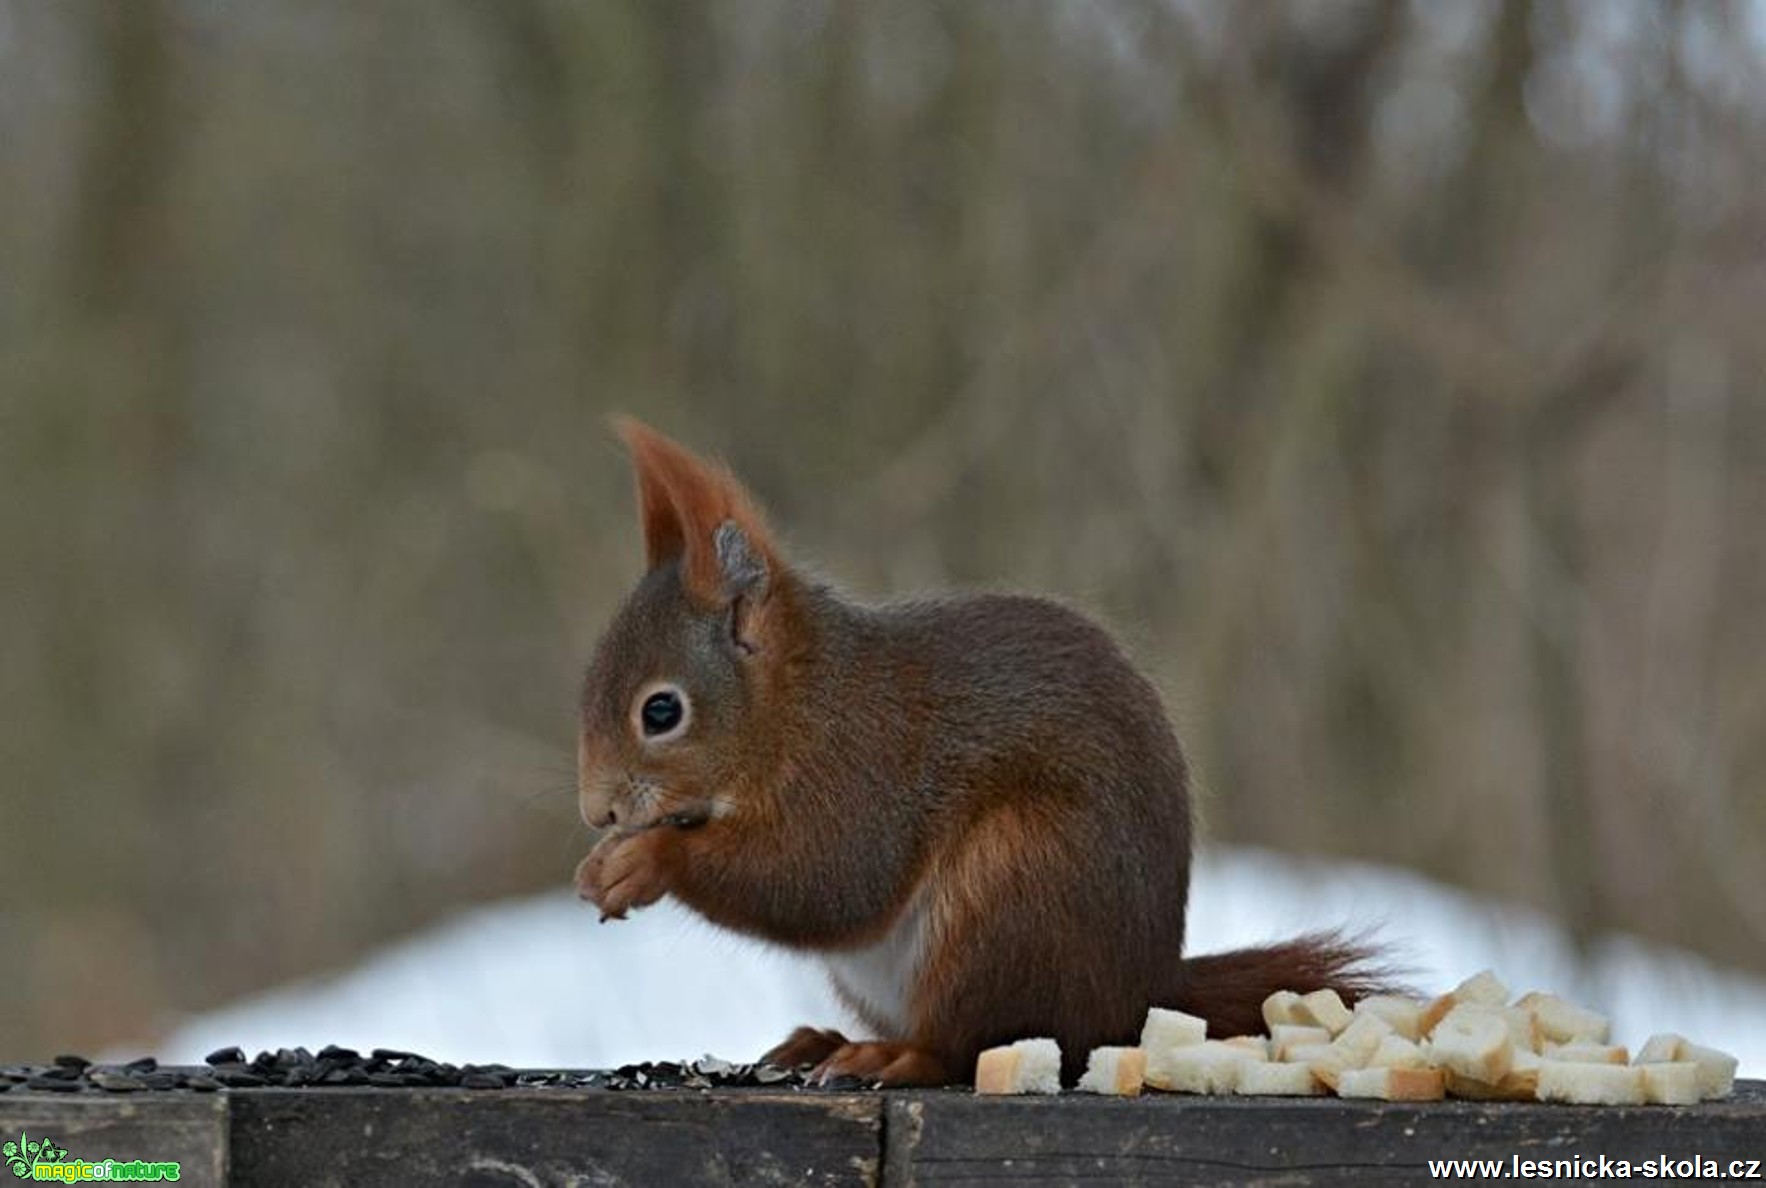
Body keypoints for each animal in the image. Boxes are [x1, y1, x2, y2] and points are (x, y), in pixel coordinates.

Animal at [572, 416, 1384, 1087]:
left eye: (662, 711)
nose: (596, 812)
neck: (800, 706)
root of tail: (1135, 1001)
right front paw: (601, 864)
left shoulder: (865, 772)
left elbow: (824, 879)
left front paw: (647, 861)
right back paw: (822, 1043)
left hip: (1015, 892)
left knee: (970, 1044)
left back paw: (893, 1057)